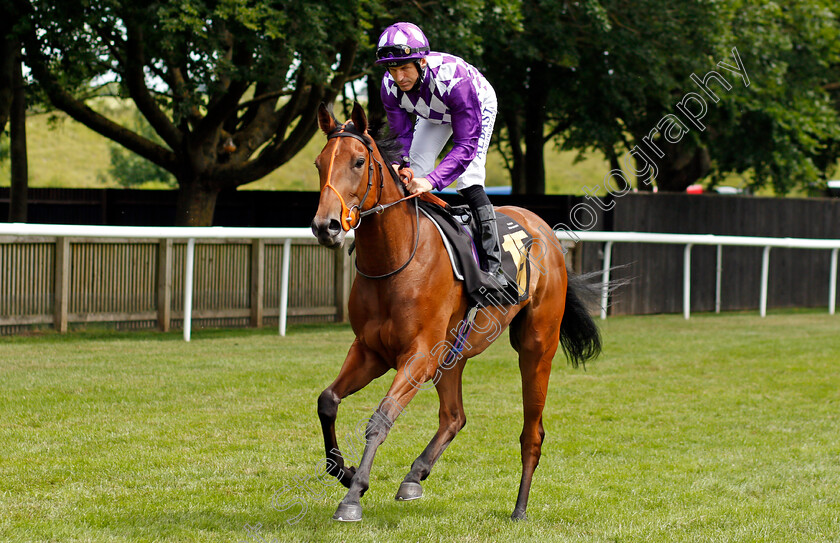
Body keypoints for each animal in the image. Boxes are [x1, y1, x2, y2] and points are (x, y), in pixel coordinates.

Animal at [312, 102, 600, 524]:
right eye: (320, 164)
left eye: (359, 161)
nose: (326, 225)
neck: (395, 260)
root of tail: (545, 231)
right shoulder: (370, 351)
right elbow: (328, 401)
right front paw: (345, 471)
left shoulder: (417, 355)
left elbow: (381, 417)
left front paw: (353, 495)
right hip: (453, 353)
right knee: (454, 415)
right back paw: (414, 476)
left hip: (536, 346)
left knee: (532, 432)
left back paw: (520, 508)